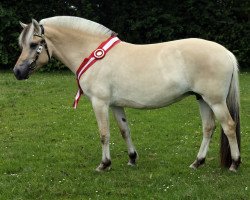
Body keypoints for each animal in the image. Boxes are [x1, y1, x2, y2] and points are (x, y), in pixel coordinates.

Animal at [13, 16, 240, 172]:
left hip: (216, 102)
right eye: (22, 44)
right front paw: (132, 159)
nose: (17, 72)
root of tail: (227, 53)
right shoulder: (115, 104)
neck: (92, 54)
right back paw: (197, 162)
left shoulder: (100, 103)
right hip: (202, 99)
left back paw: (235, 164)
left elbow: (104, 134)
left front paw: (104, 164)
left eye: (33, 45)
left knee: (229, 126)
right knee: (208, 128)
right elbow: (124, 130)